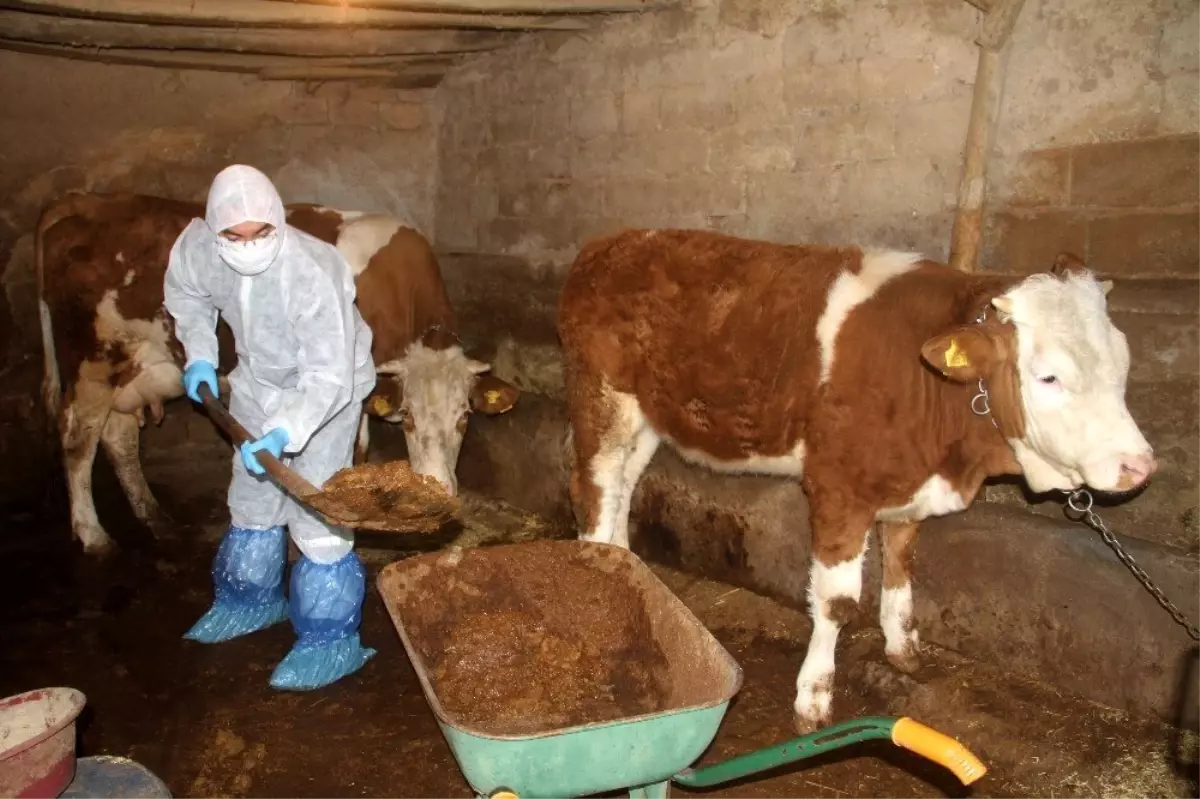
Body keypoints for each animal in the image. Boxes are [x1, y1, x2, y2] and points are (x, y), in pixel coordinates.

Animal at [36, 191, 516, 554]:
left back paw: (154, 517)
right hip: (91, 363)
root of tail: (85, 199)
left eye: (464, 418)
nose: (441, 489)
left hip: (133, 367)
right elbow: (348, 453)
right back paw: (93, 534)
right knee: (77, 440)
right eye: (410, 420)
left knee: (118, 439)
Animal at [556, 226, 1156, 729]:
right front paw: (813, 697)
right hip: (603, 398)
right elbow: (837, 602)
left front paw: (903, 648)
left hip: (649, 416)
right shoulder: (839, 488)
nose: (1139, 465)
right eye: (1048, 376)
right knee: (595, 486)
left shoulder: (908, 486)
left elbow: (902, 568)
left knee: (624, 487)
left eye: (1124, 364)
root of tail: (614, 241)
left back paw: (630, 572)